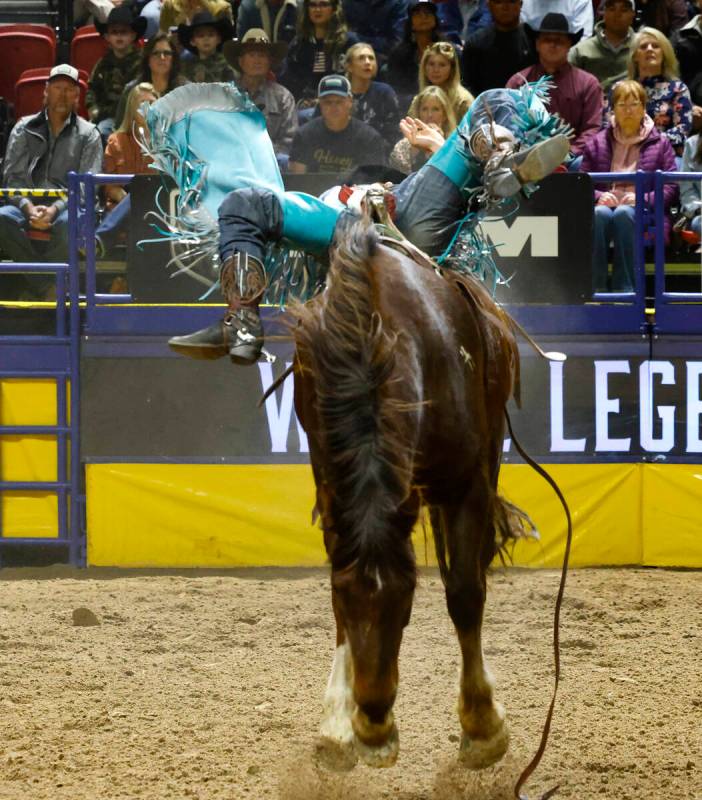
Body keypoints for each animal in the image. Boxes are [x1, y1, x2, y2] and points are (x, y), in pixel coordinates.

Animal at [292, 216, 532, 772]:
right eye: (345, 600)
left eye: (405, 606)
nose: (375, 717)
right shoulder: (331, 485)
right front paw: (340, 726)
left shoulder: (467, 485)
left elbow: (464, 592)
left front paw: (483, 725)